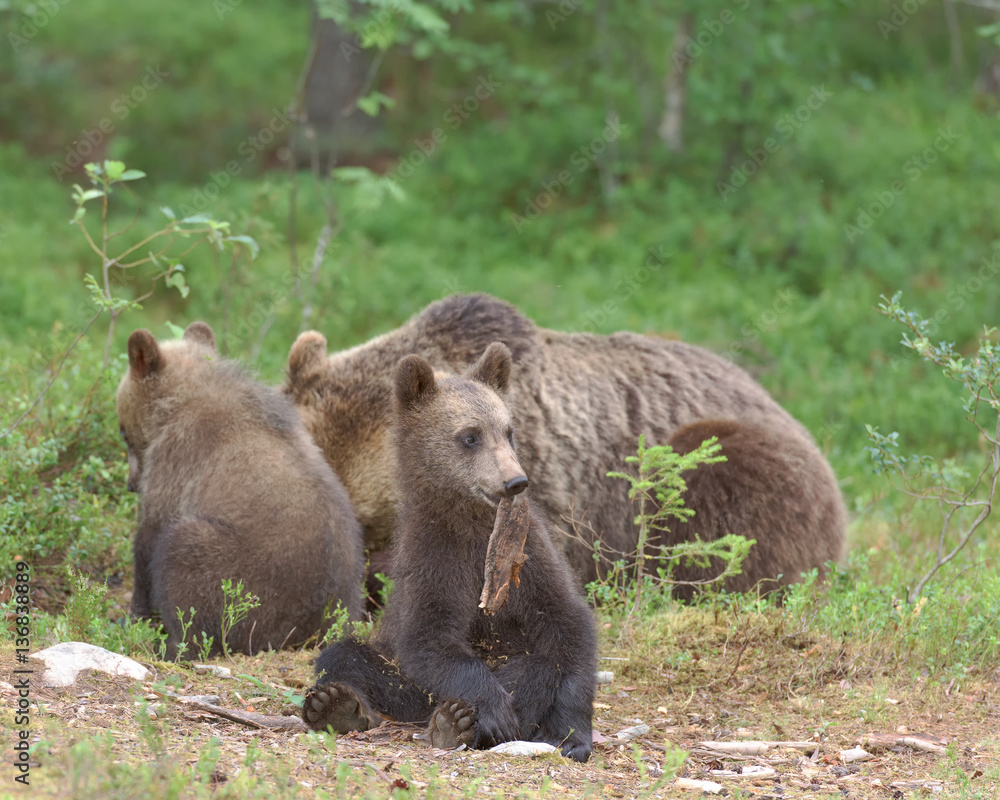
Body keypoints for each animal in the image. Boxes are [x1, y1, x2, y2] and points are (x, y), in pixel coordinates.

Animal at [116, 321, 365, 658]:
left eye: (122, 430)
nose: (130, 484)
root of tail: (311, 632)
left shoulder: (175, 462)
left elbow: (148, 538)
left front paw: (135, 616)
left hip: (250, 580)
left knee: (185, 556)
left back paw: (173, 643)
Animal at [301, 342, 597, 762]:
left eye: (508, 431)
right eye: (470, 436)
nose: (515, 481)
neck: (473, 525)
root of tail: (416, 712)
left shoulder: (531, 556)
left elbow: (568, 625)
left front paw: (571, 735)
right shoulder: (434, 557)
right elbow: (430, 637)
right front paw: (492, 710)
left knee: (535, 666)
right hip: (402, 680)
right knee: (345, 656)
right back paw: (343, 707)